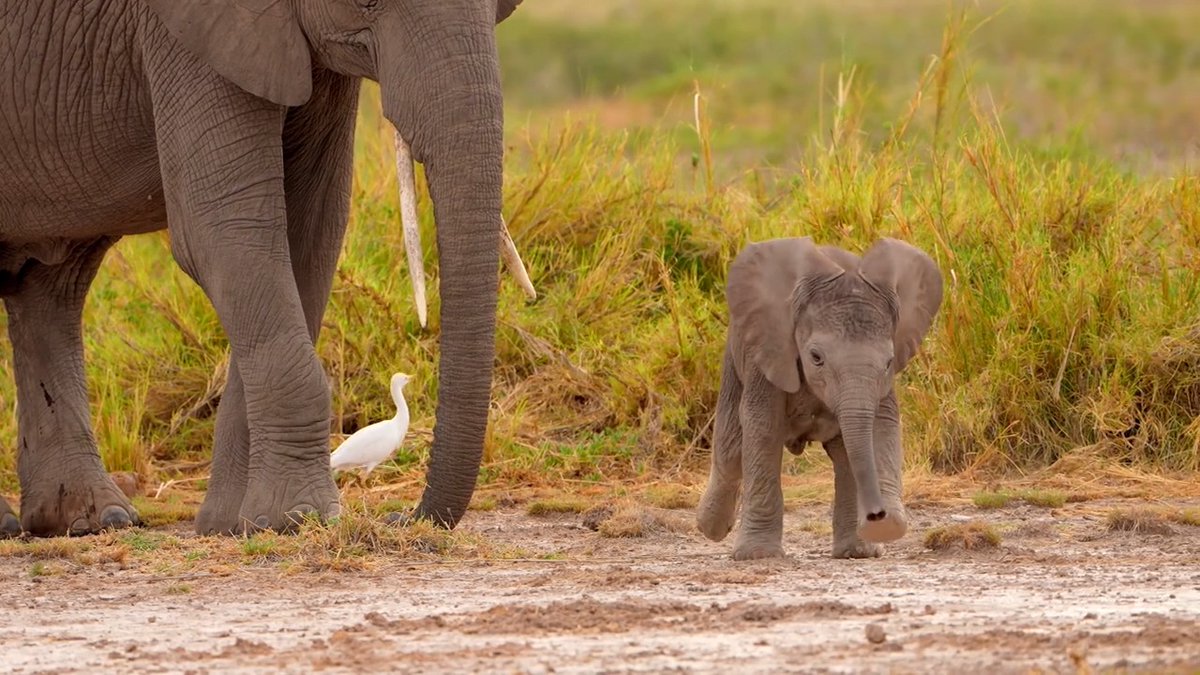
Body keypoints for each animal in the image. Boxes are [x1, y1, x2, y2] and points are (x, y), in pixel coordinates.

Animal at [0, 0, 531, 537]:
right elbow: (226, 230)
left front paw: (235, 525)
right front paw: (298, 517)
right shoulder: (184, 28)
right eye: (367, 1)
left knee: (53, 287)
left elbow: (313, 228)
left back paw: (92, 519)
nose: (404, 516)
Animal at [696, 237, 943, 560]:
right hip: (735, 357)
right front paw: (758, 555)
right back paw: (709, 528)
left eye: (889, 362)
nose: (879, 516)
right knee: (731, 448)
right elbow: (763, 427)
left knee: (841, 454)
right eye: (815, 357)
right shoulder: (769, 351)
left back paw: (855, 552)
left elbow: (881, 424)